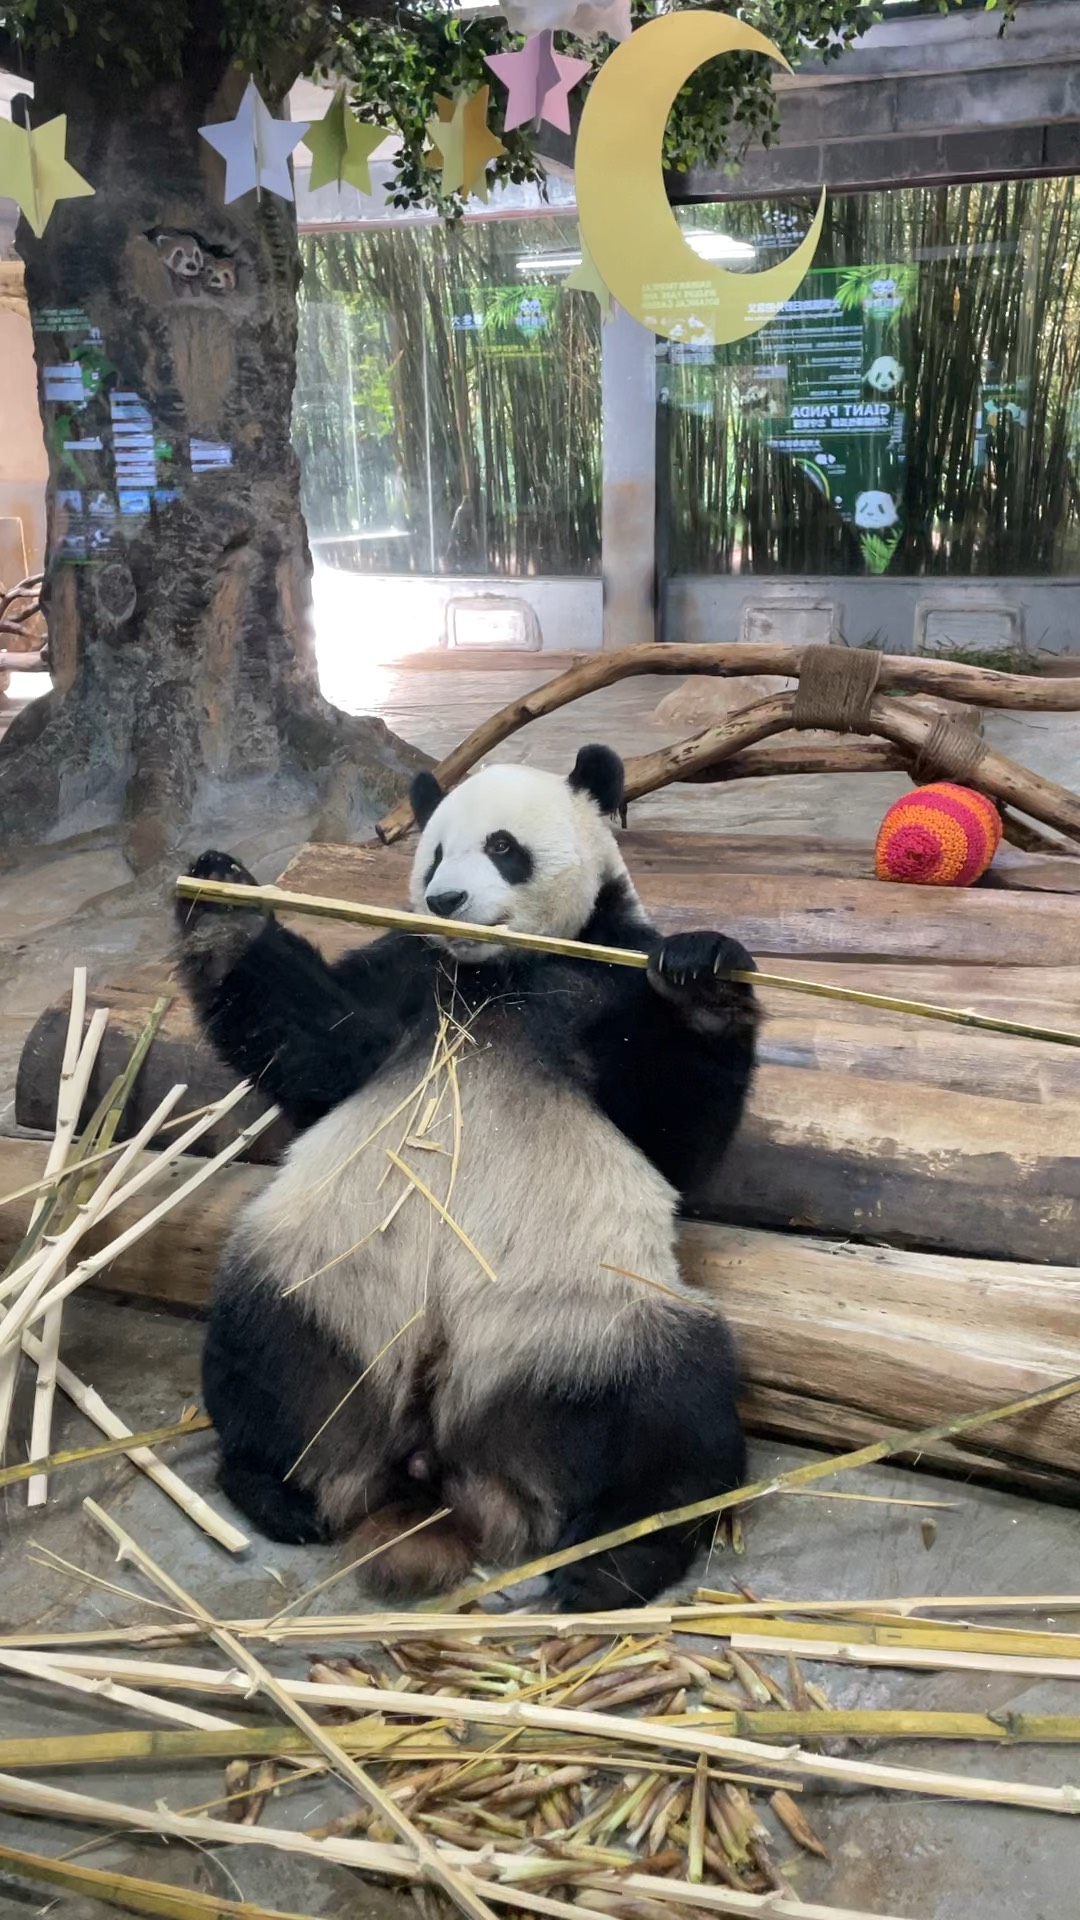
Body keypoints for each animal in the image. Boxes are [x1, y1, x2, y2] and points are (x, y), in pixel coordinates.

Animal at [171, 741, 753, 1612]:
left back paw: (612, 1561)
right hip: (322, 1282)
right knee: (260, 1348)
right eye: (436, 852)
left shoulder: (601, 976)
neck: (492, 978)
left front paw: (702, 975)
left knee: (682, 1411)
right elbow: (323, 1047)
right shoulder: (409, 978)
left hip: (591, 1323)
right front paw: (223, 902)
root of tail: (437, 1452)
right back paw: (280, 1492)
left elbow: (673, 1129)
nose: (445, 900)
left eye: (504, 847)